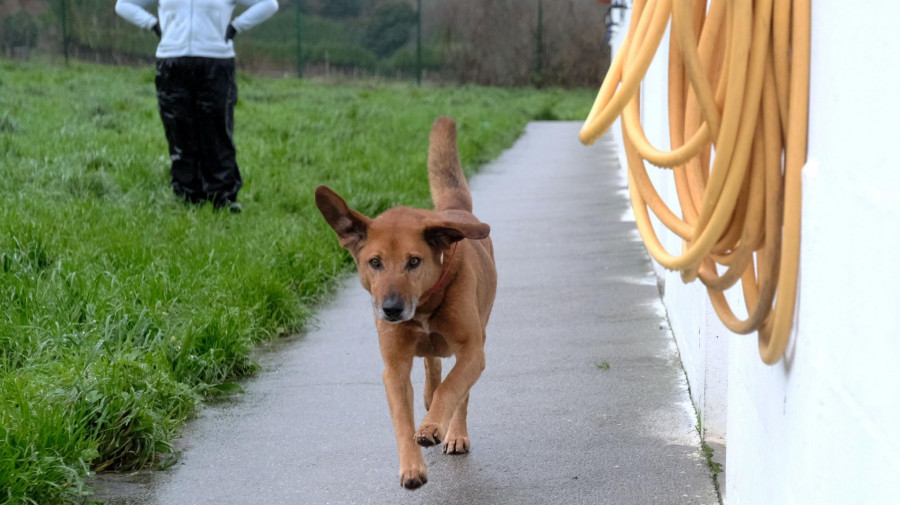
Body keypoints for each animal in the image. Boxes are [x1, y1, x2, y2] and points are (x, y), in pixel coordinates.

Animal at [314, 115, 500, 488]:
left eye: (414, 261)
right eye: (375, 262)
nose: (391, 309)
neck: (425, 304)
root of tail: (453, 211)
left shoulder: (472, 351)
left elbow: (453, 390)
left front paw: (433, 427)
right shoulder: (395, 366)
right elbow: (403, 417)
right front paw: (411, 466)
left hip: (480, 335)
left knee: (458, 389)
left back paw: (454, 432)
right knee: (432, 364)